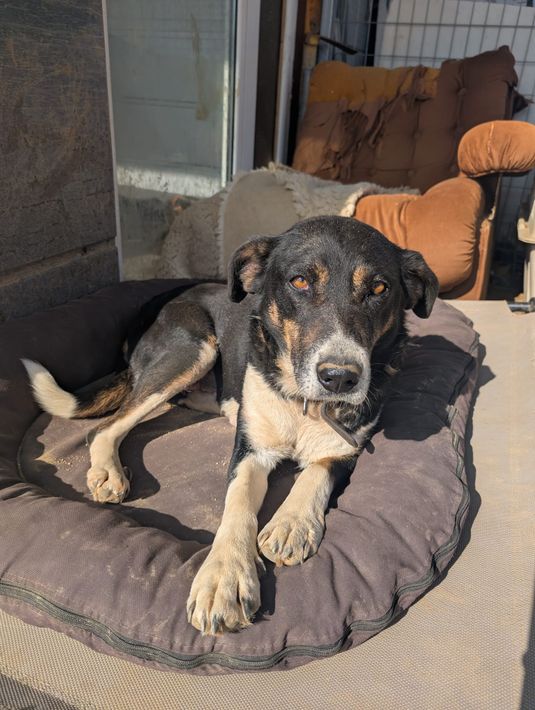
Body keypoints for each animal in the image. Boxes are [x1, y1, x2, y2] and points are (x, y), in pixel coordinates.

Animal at [23, 216, 439, 636]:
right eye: (300, 281)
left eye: (379, 289)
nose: (340, 378)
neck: (304, 405)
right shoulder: (249, 450)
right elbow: (237, 503)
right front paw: (224, 577)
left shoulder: (346, 450)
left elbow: (315, 473)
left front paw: (291, 523)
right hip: (190, 349)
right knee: (105, 427)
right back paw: (108, 471)